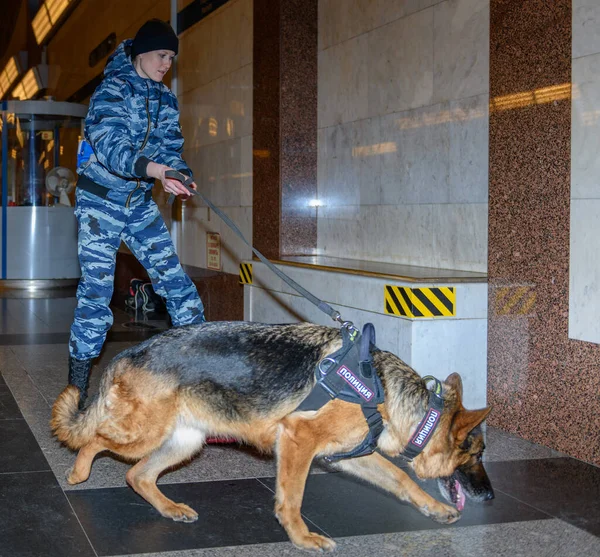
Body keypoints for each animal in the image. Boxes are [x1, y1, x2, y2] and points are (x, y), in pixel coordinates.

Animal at [51, 320, 492, 548]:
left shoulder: (352, 455)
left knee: (137, 475)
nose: (490, 497)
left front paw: (433, 509)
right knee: (95, 440)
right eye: (477, 455)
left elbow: (402, 478)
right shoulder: (299, 440)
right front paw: (302, 538)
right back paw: (77, 473)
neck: (382, 391)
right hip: (142, 434)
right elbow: (292, 499)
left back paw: (170, 509)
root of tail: (129, 352)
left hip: (184, 443)